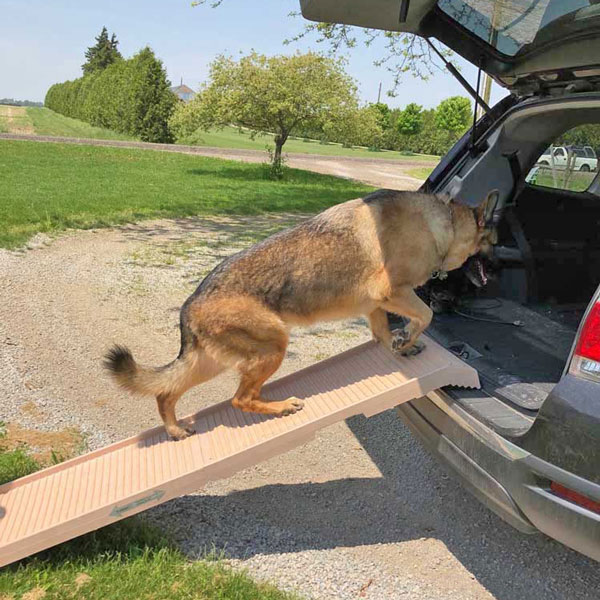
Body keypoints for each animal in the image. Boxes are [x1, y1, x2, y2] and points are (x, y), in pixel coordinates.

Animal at [104, 190, 492, 438]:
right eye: (494, 242)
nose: (501, 269)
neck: (442, 222)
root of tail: (190, 303)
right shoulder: (392, 292)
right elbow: (425, 316)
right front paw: (408, 338)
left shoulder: (376, 305)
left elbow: (383, 333)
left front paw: (402, 346)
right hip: (274, 344)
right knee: (240, 399)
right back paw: (281, 407)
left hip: (212, 361)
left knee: (165, 393)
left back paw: (174, 429)